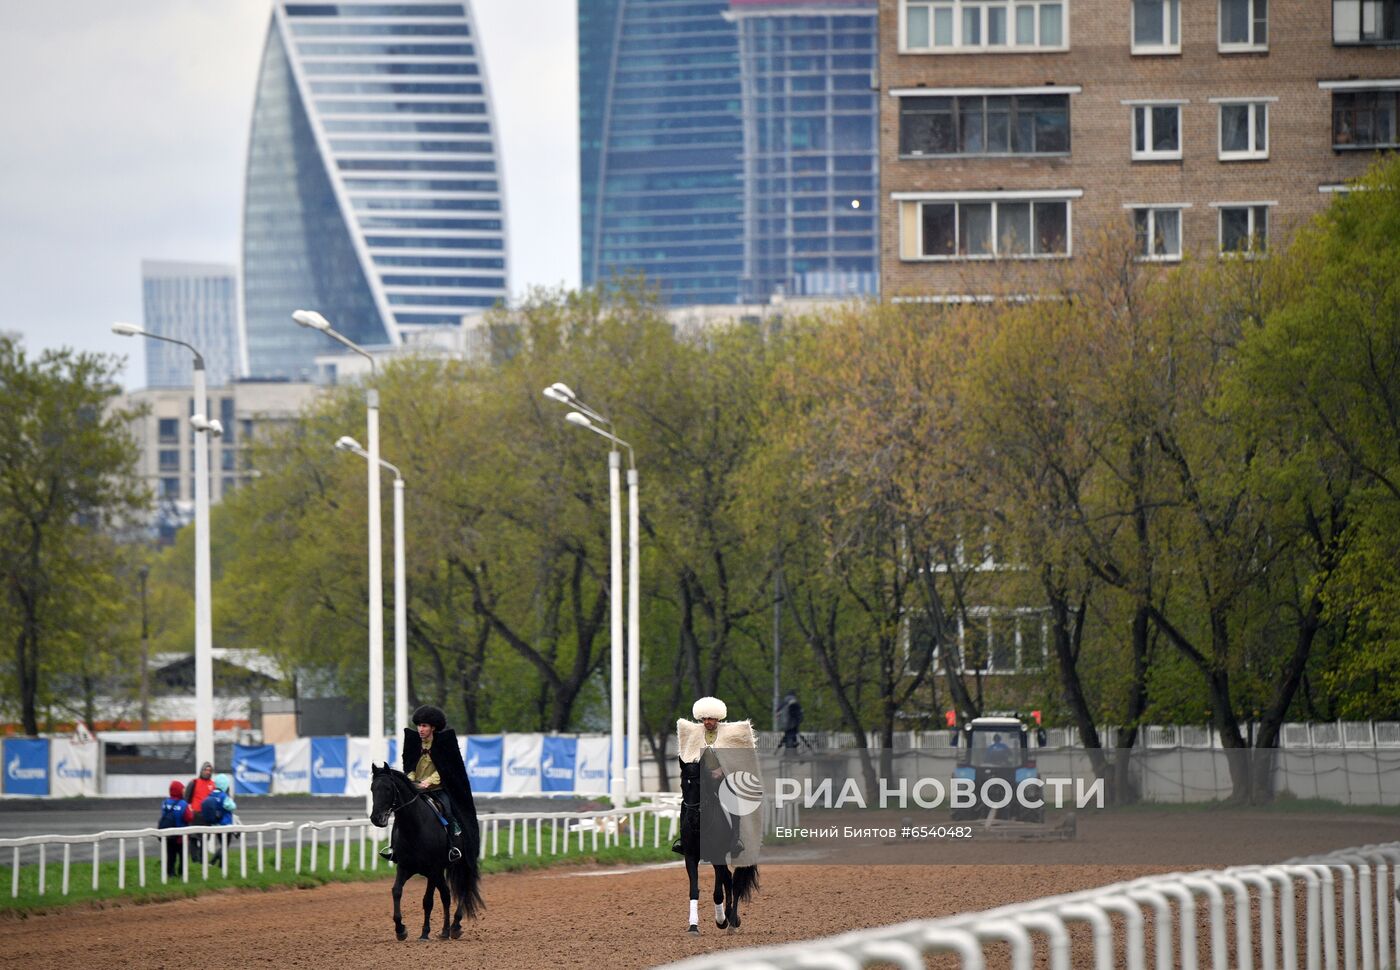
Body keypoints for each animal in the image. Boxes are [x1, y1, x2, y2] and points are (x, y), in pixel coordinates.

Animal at [369, 767, 484, 940]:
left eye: (388, 789)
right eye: (372, 788)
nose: (376, 818)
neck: (415, 827)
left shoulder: (433, 869)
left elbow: (429, 900)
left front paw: (430, 932)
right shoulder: (404, 867)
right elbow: (396, 891)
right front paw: (401, 929)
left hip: (462, 864)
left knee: (461, 888)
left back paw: (454, 926)